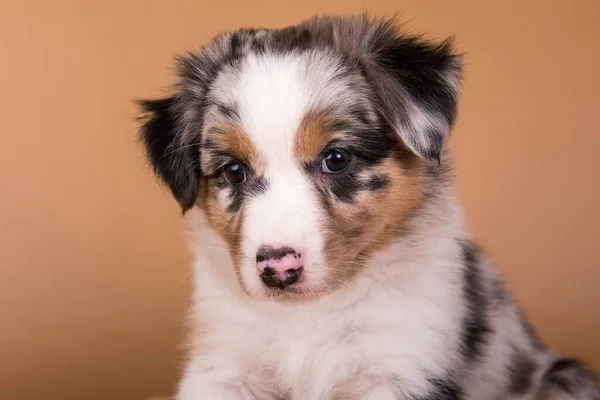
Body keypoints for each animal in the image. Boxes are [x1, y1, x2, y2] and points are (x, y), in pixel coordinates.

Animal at [137, 14, 600, 398]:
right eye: (234, 171)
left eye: (337, 158)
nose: (278, 269)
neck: (308, 313)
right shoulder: (225, 364)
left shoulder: (399, 364)